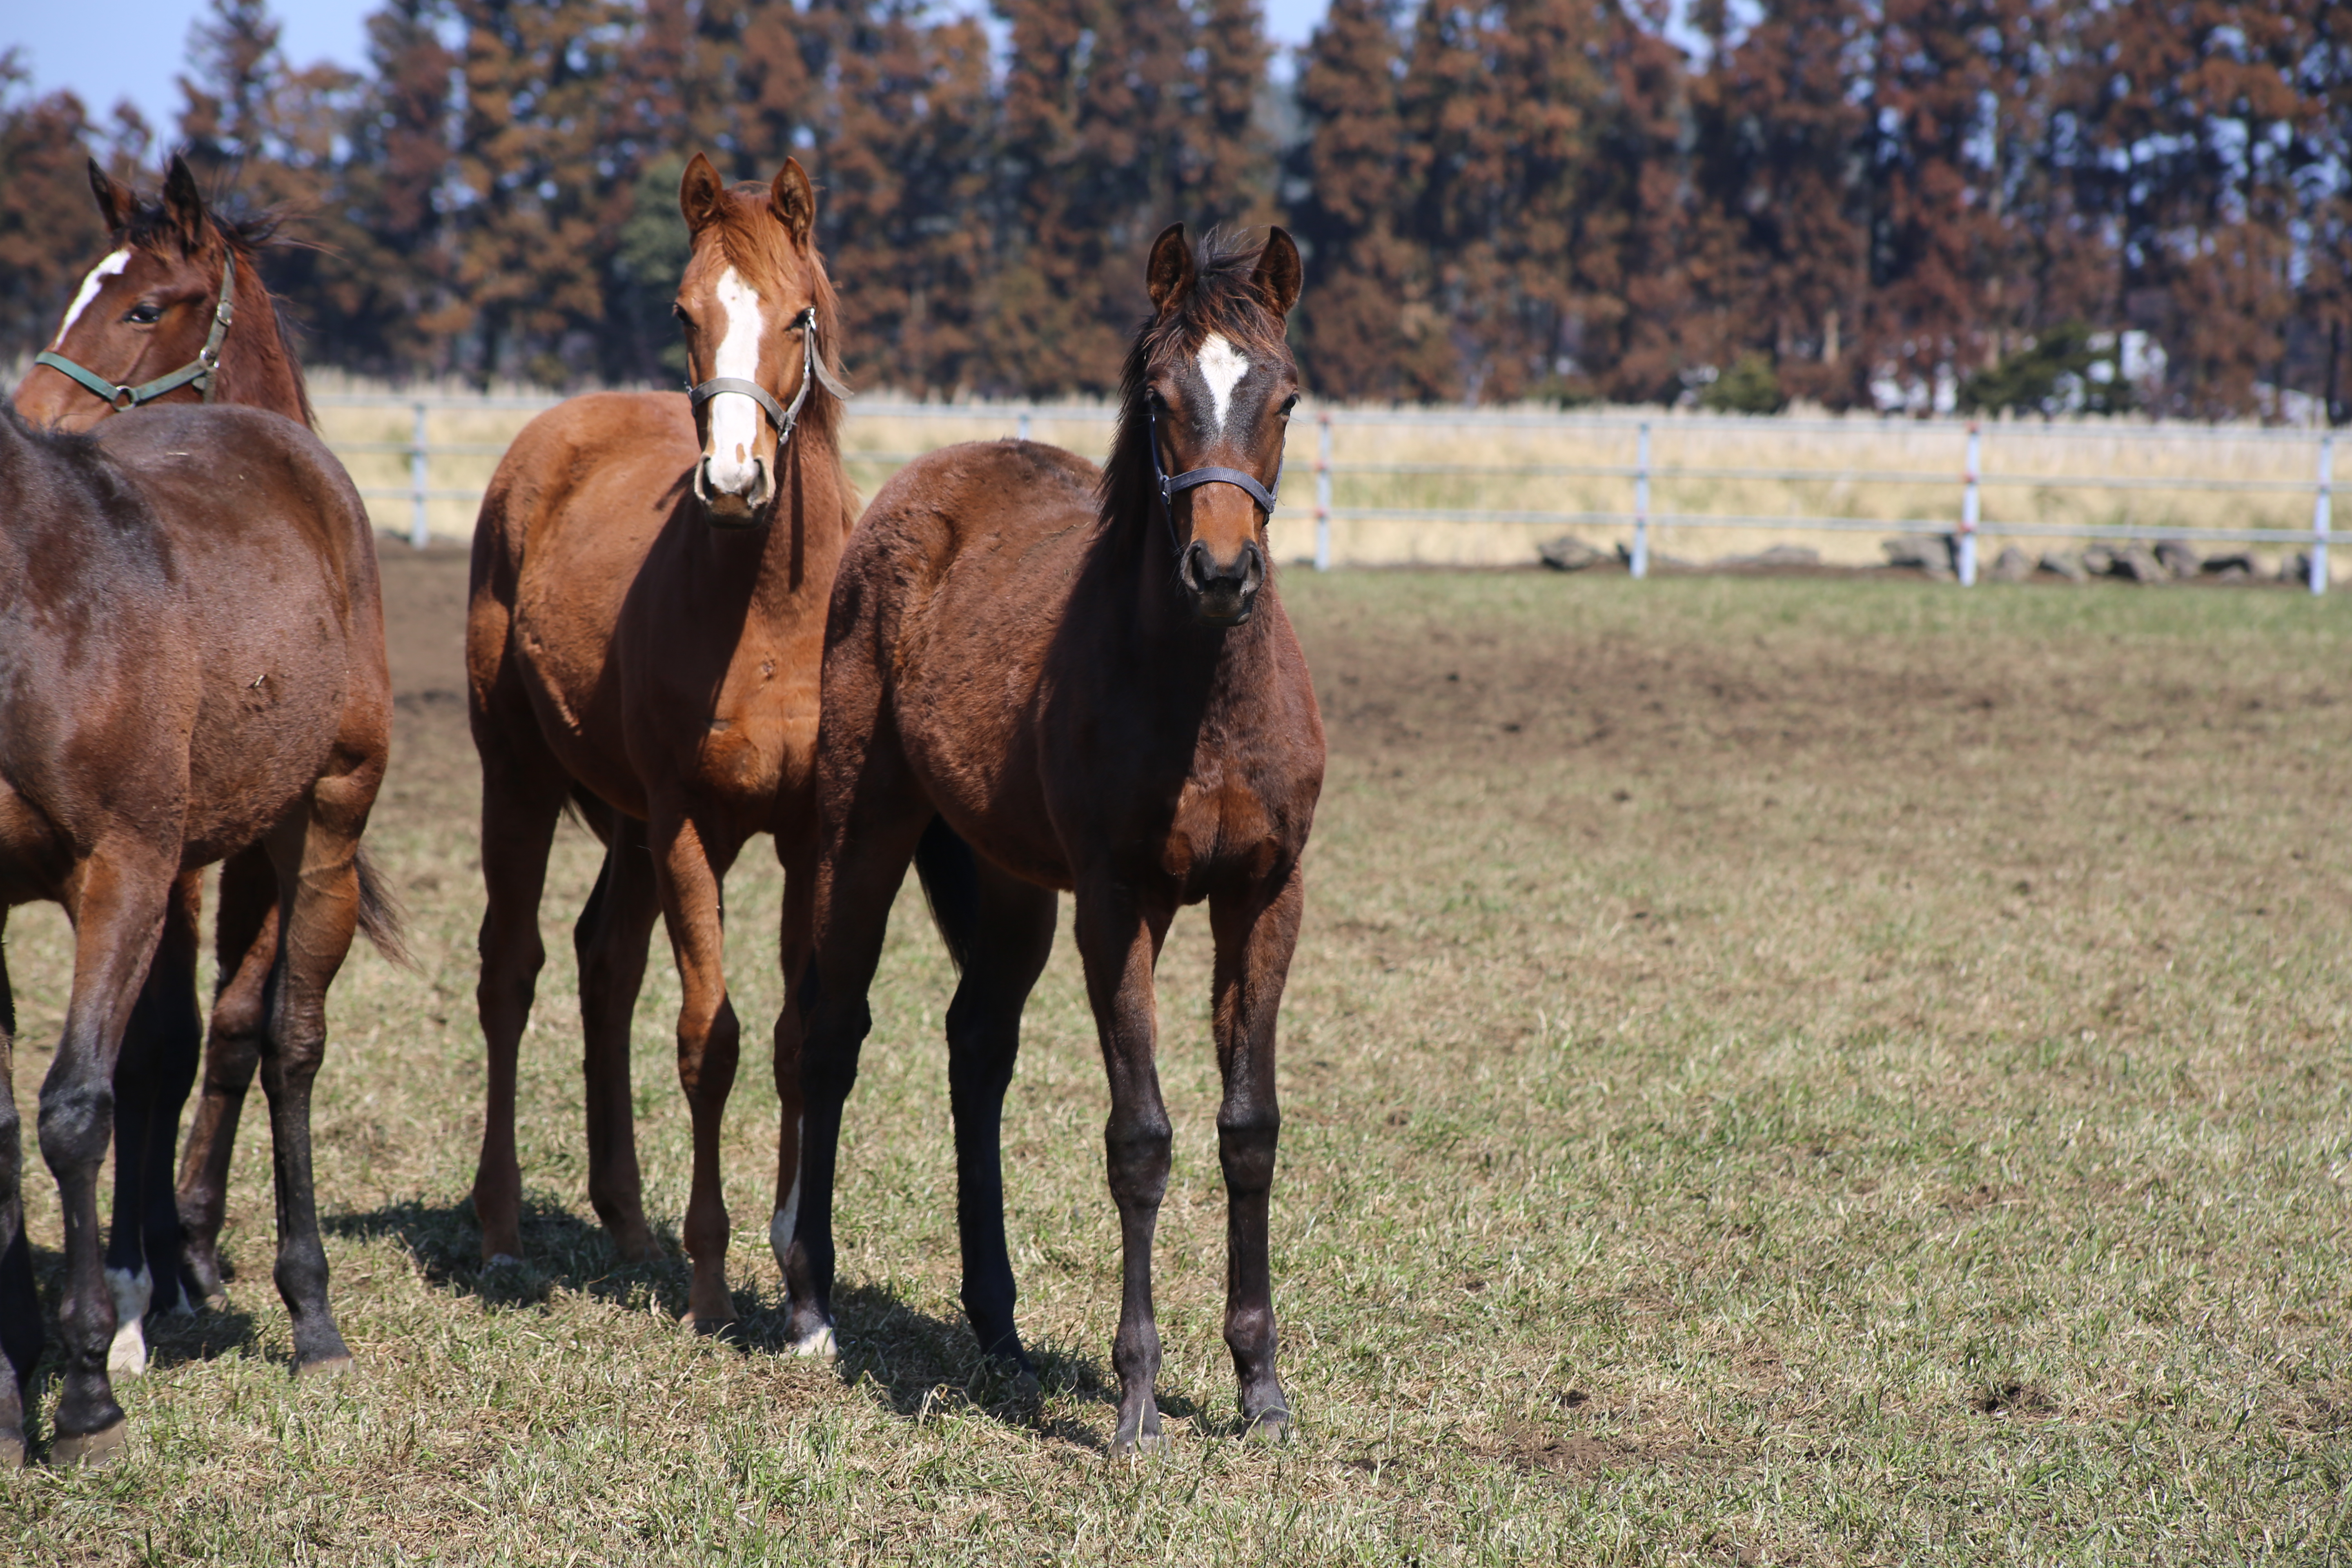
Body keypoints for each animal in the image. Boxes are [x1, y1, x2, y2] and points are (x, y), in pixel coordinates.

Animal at [463, 153, 861, 1335]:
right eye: (686, 313)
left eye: (796, 315)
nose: (732, 483)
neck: (773, 614)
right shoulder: (691, 825)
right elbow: (707, 1039)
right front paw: (711, 1280)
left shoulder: (806, 835)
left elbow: (792, 1040)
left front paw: (803, 1295)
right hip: (520, 778)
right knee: (512, 971)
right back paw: (502, 1232)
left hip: (628, 828)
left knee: (605, 963)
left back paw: (627, 1222)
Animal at [790, 227, 1326, 1457]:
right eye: (1160, 398)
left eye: (1282, 396)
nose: (1219, 572)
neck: (1202, 700)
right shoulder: (1117, 903)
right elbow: (1140, 1138)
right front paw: (1135, 1406)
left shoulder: (1265, 896)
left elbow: (1249, 1129)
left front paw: (1261, 1388)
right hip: (858, 829)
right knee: (830, 1033)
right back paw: (808, 1309)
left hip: (1009, 888)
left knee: (976, 1050)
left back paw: (997, 1324)